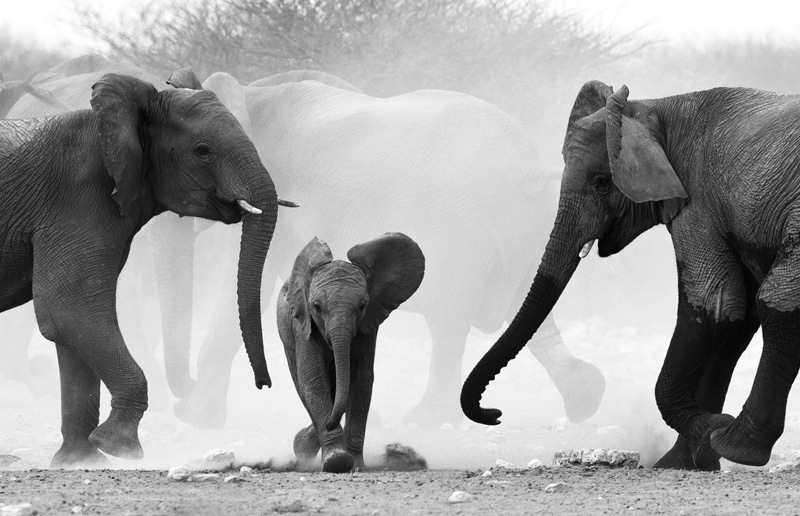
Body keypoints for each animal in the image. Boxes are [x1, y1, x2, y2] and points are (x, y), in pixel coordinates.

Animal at [0, 71, 279, 468]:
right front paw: (118, 445)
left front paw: (81, 460)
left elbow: (69, 328)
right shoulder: (75, 202)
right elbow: (69, 312)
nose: (264, 385)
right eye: (203, 151)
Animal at [156, 70, 607, 430]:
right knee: (527, 308)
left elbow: (254, 279)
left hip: (460, 227)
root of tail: (530, 168)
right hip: (528, 228)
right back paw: (586, 398)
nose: (183, 389)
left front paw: (194, 418)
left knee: (450, 315)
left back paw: (423, 420)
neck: (249, 94)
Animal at [277, 234, 425, 472]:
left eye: (362, 306)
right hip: (287, 341)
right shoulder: (303, 327)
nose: (330, 423)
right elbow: (314, 381)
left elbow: (361, 382)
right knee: (303, 386)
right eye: (316, 307)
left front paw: (355, 465)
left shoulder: (368, 327)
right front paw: (336, 461)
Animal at [461, 79, 800, 470]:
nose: (495, 413)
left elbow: (715, 302)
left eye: (602, 182)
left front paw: (712, 433)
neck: (654, 109)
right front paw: (689, 456)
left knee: (777, 301)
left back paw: (739, 446)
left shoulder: (697, 202)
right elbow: (734, 317)